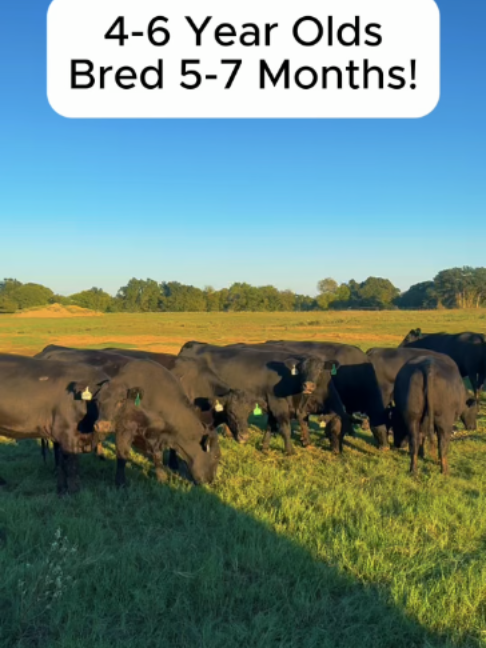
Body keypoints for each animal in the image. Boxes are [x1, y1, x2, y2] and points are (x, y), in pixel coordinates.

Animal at [0, 353, 110, 494]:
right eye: (98, 400)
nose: (105, 424)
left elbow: (60, 462)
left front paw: (62, 489)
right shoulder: (67, 434)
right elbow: (72, 464)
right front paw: (74, 492)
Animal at [178, 342, 338, 455]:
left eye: (319, 370)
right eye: (302, 369)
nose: (308, 386)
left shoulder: (272, 405)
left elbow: (270, 427)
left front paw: (265, 447)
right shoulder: (278, 404)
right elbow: (285, 428)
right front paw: (290, 451)